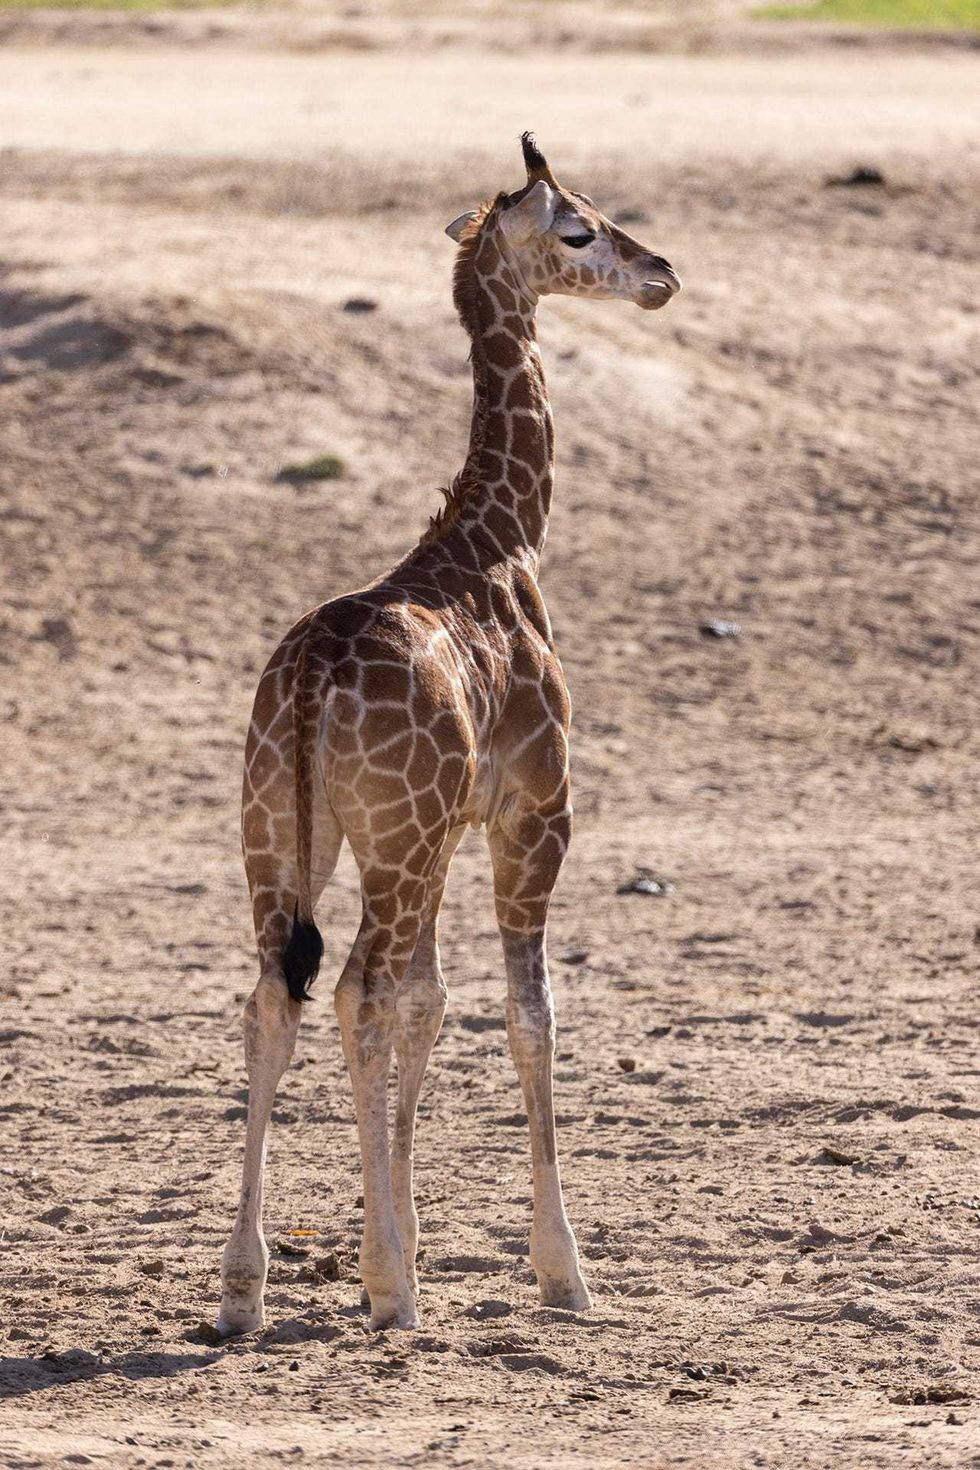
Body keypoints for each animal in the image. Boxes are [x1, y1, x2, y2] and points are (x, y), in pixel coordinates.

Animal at [218, 134, 680, 1336]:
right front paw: (559, 1271)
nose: (661, 272)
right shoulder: (532, 812)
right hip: (391, 839)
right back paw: (385, 1286)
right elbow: (529, 1013)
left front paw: (412, 1248)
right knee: (352, 990)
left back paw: (244, 1286)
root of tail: (310, 683)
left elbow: (432, 1007)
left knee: (276, 995)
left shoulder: (447, 830)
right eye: (579, 227)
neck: (503, 537)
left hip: (283, 834)